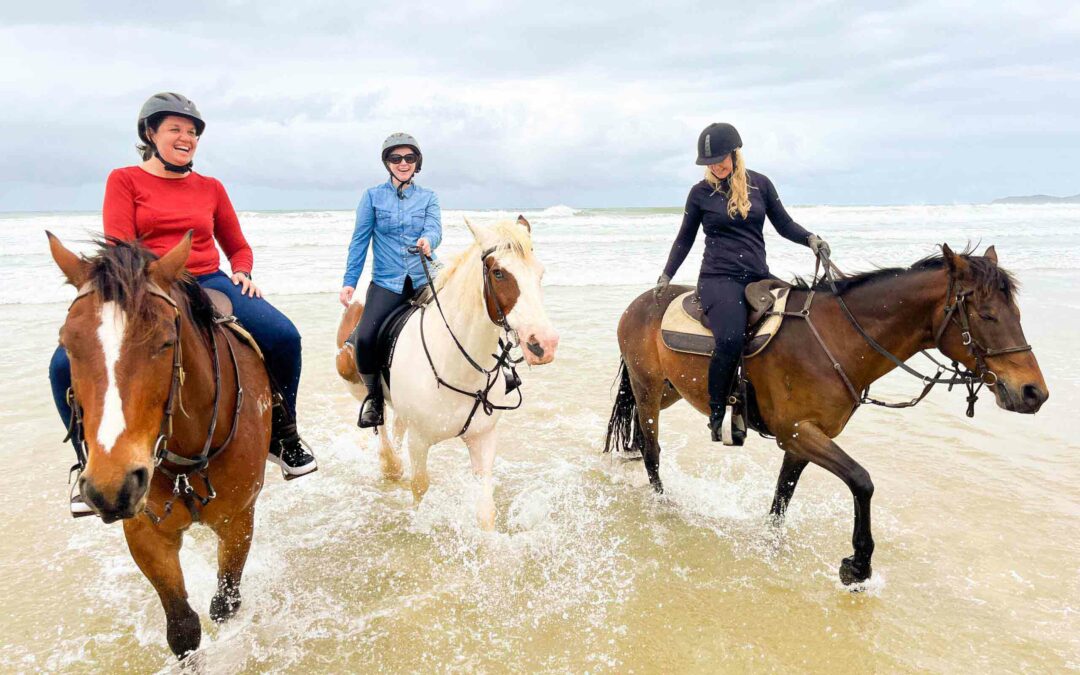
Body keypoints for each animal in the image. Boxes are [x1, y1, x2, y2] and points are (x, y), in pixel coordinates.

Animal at [48, 233, 272, 656]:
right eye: (67, 344)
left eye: (167, 342)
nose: (112, 486)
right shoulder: (144, 531)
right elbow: (183, 628)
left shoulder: (239, 521)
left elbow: (225, 605)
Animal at [334, 218, 557, 529]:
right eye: (499, 273)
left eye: (539, 273)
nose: (544, 344)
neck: (457, 366)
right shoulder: (419, 442)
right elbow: (419, 487)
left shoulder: (483, 439)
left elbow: (485, 510)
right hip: (356, 383)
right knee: (381, 426)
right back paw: (390, 463)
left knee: (396, 426)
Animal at [600, 246, 1045, 583]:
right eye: (987, 315)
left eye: (1018, 314)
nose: (1034, 392)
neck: (836, 339)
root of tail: (641, 302)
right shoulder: (799, 433)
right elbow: (861, 481)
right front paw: (858, 565)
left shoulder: (802, 439)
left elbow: (782, 497)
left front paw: (772, 544)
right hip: (647, 388)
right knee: (652, 449)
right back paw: (664, 504)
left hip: (669, 391)